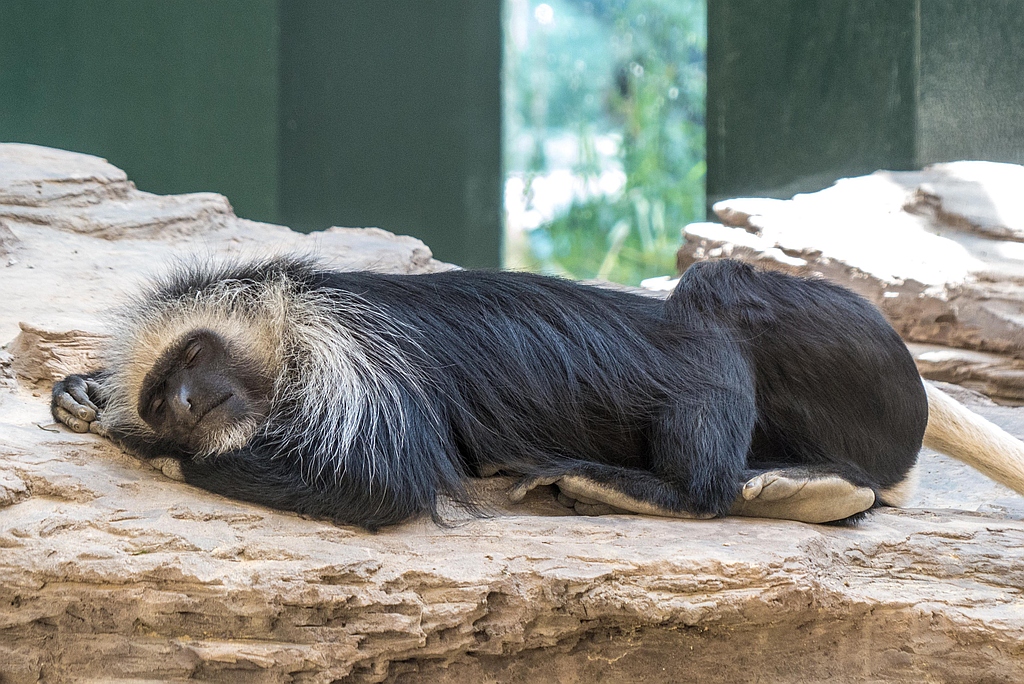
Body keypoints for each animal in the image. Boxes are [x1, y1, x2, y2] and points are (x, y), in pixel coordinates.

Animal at [51, 255, 1024, 528]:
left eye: (191, 357)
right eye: (161, 391)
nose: (179, 408)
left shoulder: (343, 350)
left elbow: (381, 481)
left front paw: (141, 450)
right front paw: (94, 403)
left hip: (846, 353)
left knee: (713, 300)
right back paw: (803, 490)